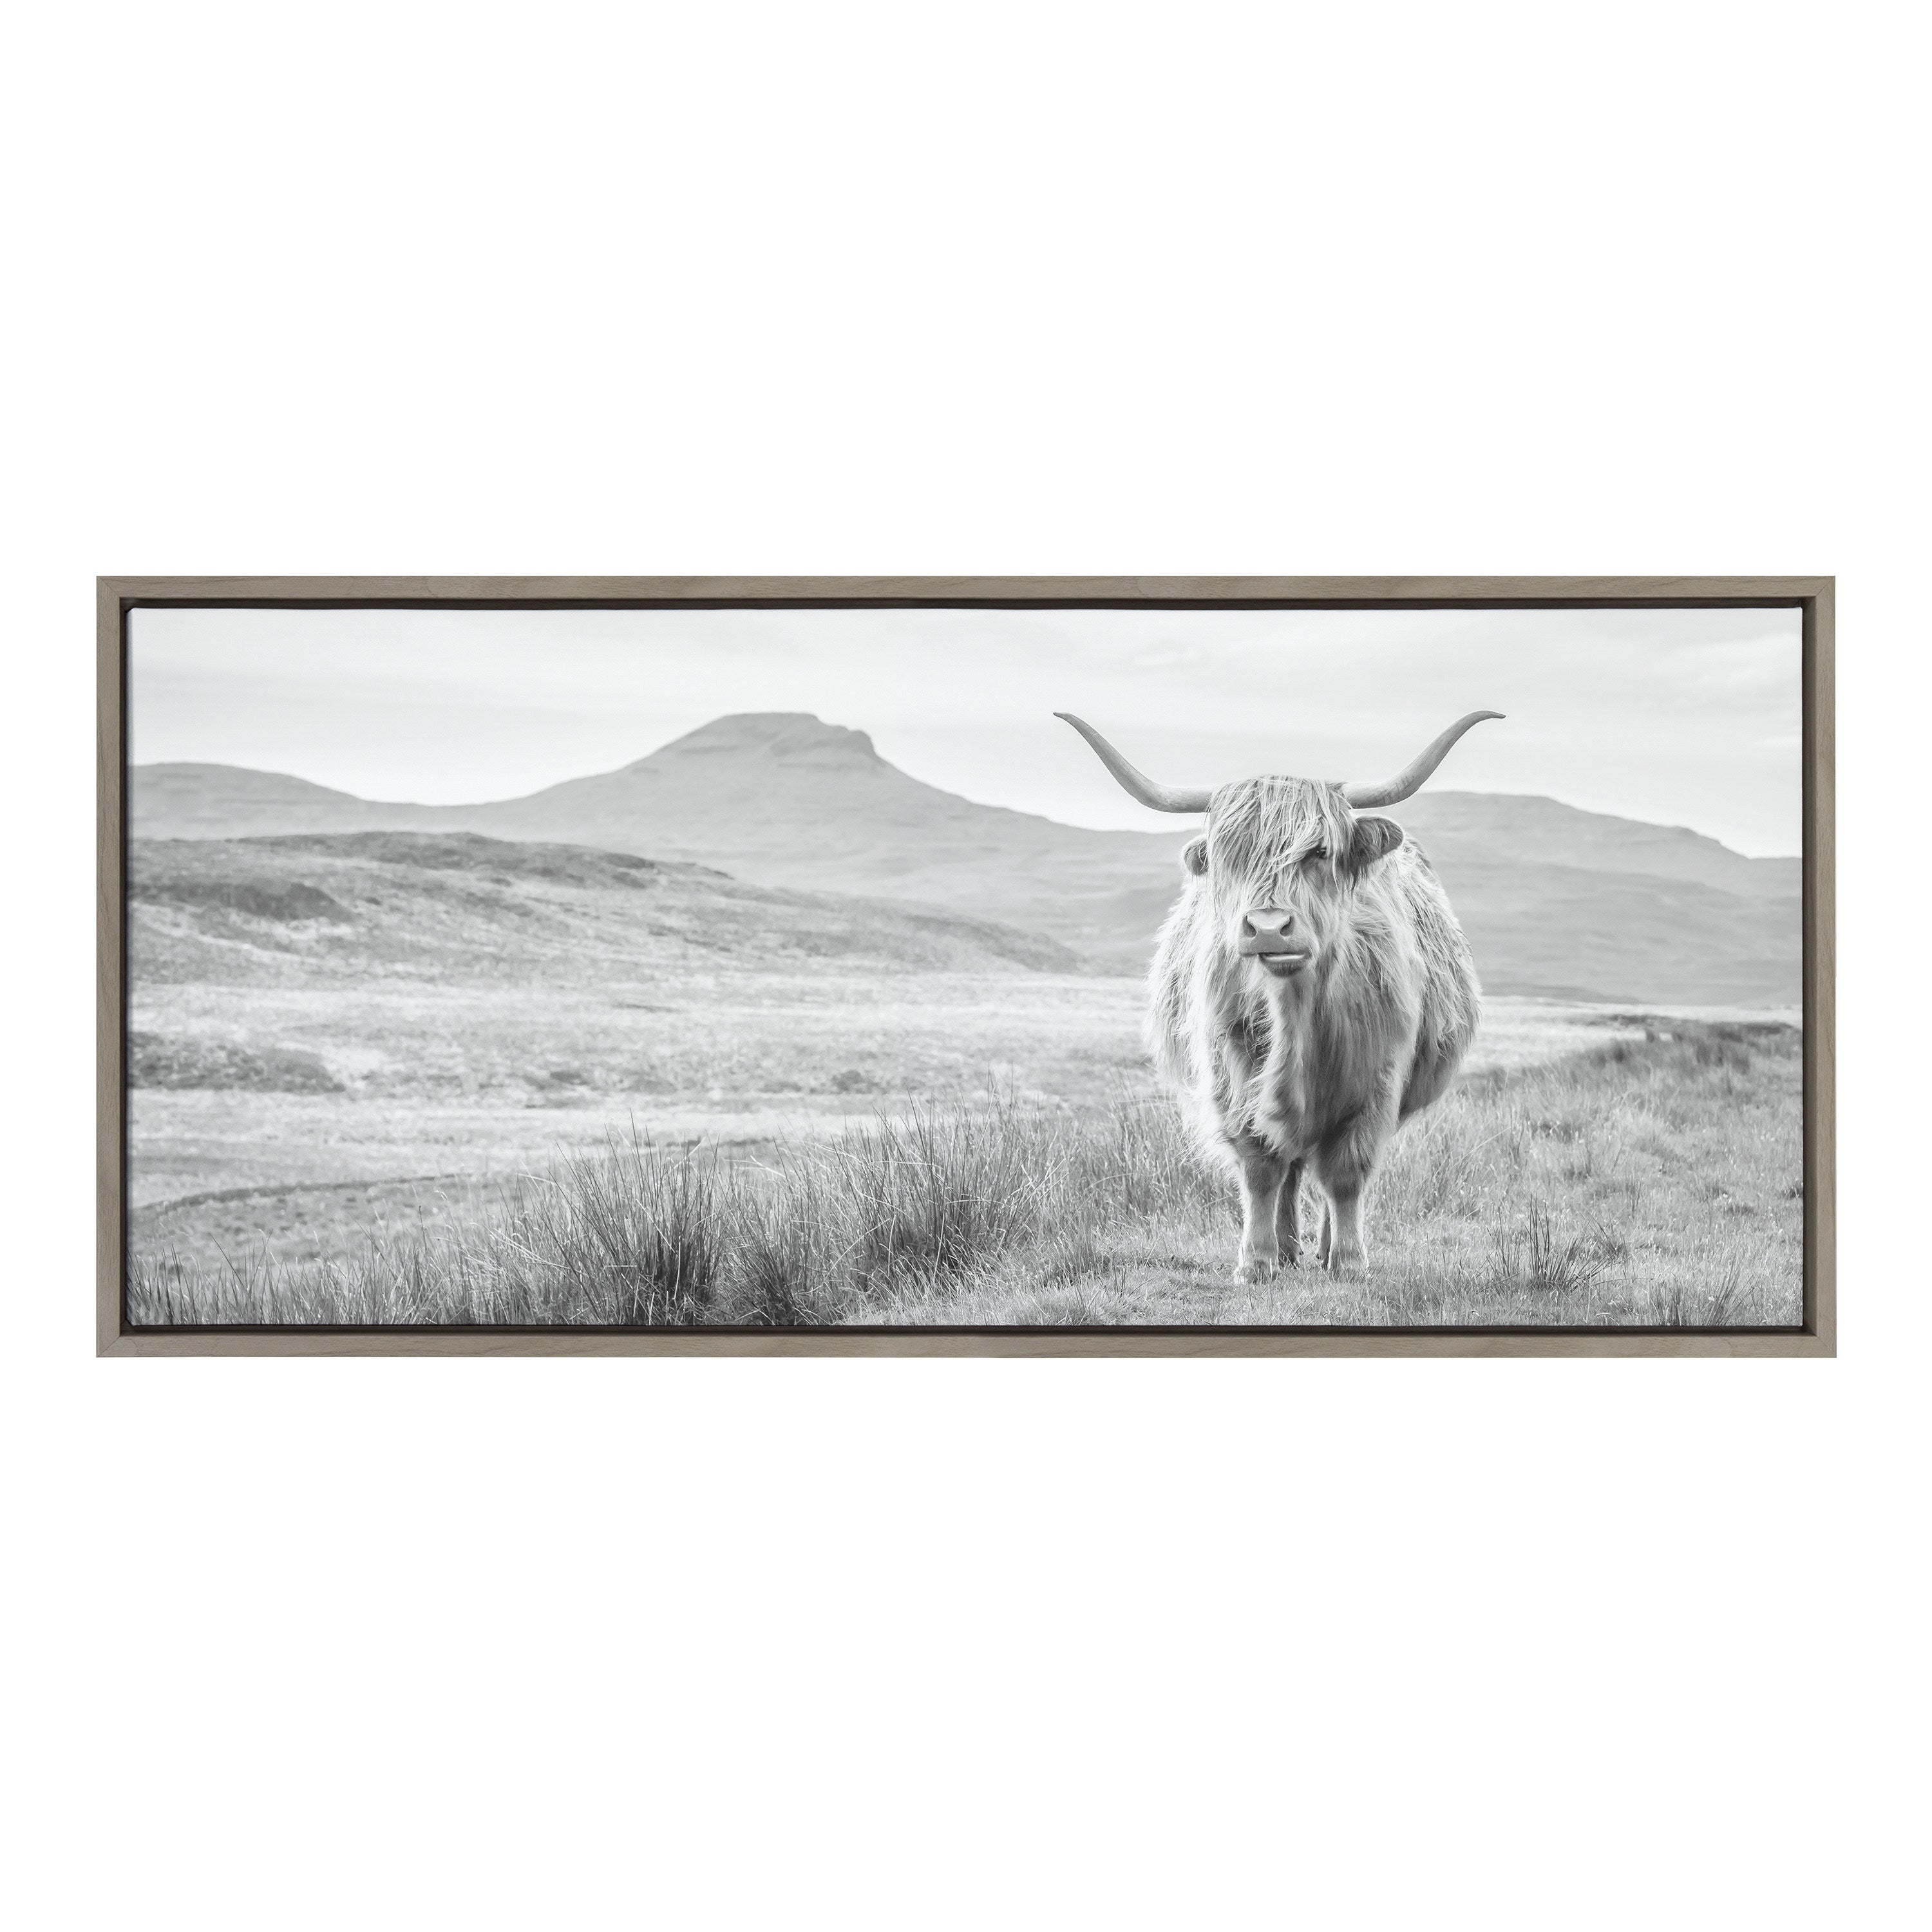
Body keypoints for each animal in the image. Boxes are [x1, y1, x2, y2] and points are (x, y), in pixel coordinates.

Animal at [1057, 709, 1502, 1283]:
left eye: (1319, 852)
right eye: (1228, 856)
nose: (1268, 928)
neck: (1295, 1014)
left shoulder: (1377, 1082)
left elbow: (1346, 1172)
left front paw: (1349, 1261)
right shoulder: (1231, 1072)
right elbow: (1261, 1166)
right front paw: (1257, 1261)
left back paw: (1325, 1246)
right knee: (1288, 1166)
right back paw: (1289, 1247)